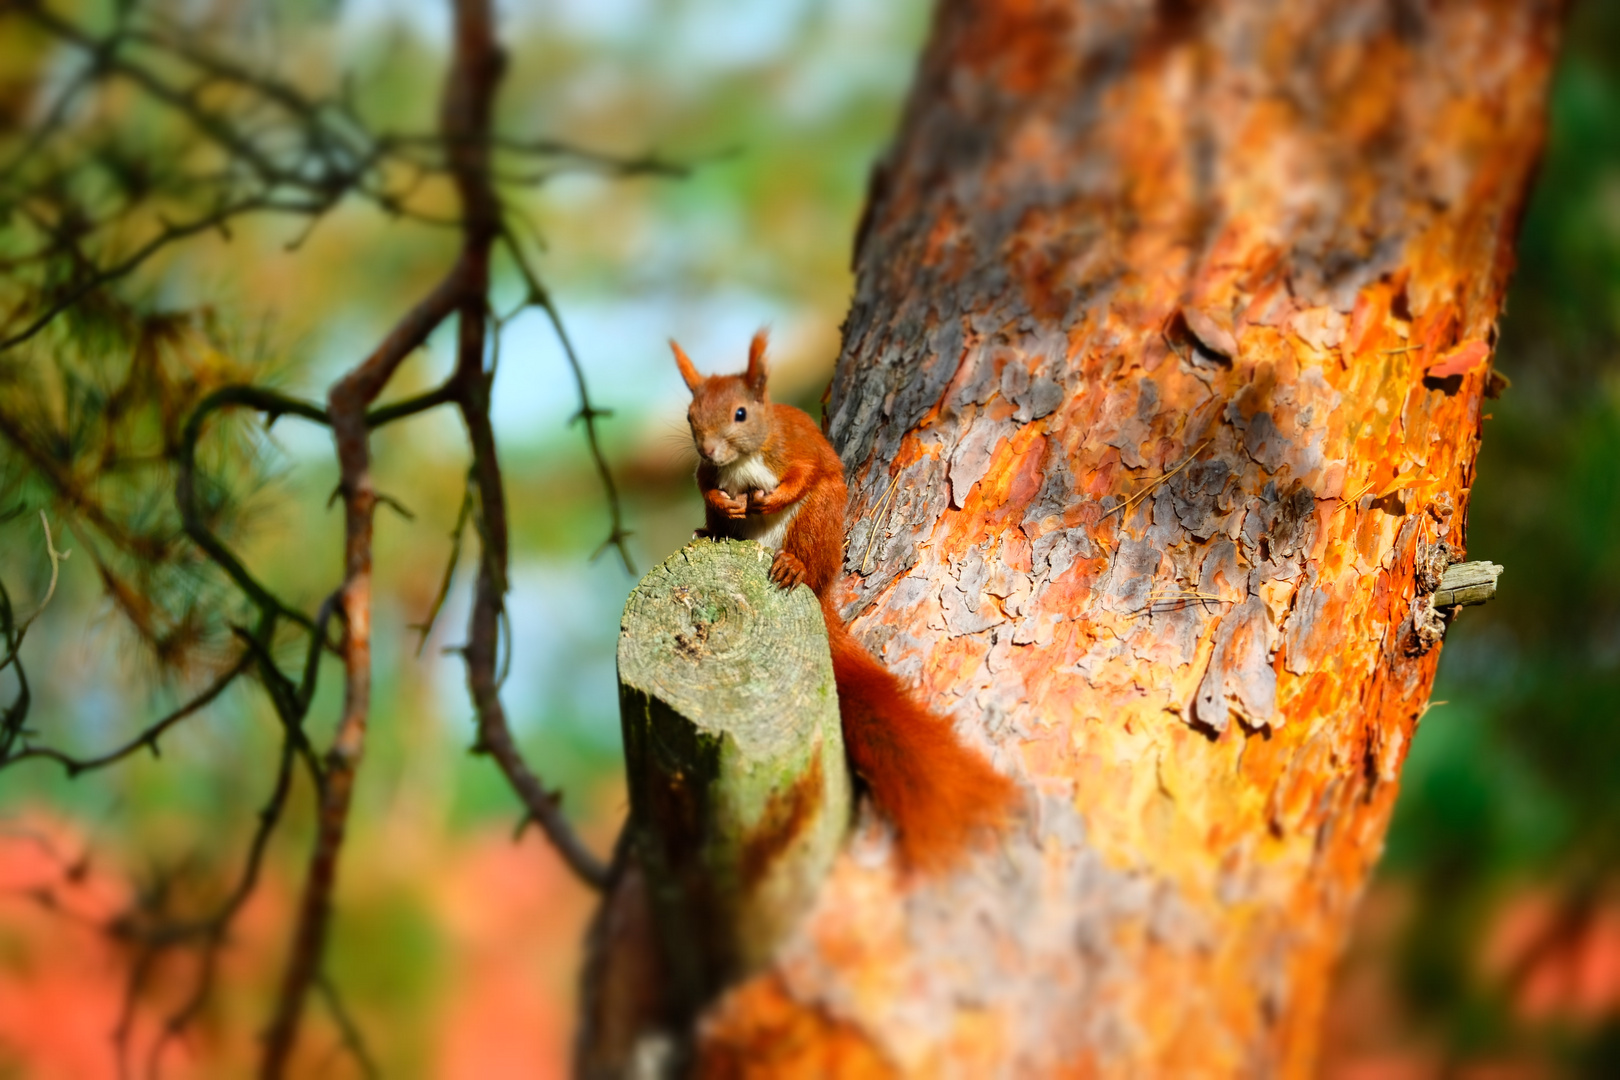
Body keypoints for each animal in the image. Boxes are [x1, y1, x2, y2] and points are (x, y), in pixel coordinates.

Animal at [664, 333, 1004, 874]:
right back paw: (708, 530)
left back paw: (793, 567)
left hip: (819, 519)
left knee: (808, 534)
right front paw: (723, 501)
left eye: (741, 413)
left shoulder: (796, 452)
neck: (742, 461)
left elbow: (804, 473)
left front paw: (769, 496)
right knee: (718, 526)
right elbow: (704, 483)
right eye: (692, 415)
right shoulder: (709, 471)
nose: (710, 447)